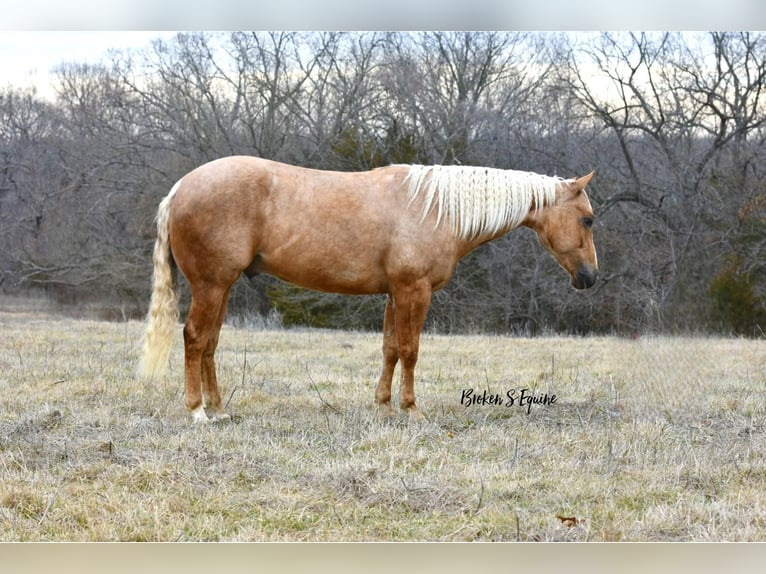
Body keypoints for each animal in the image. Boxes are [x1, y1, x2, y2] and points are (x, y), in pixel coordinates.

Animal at [138, 156, 600, 424]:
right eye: (588, 219)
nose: (591, 278)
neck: (436, 208)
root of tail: (180, 188)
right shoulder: (415, 290)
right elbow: (411, 350)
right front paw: (411, 409)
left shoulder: (395, 292)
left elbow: (390, 348)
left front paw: (383, 404)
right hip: (211, 284)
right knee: (195, 338)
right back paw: (198, 411)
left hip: (223, 286)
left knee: (210, 344)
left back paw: (219, 409)